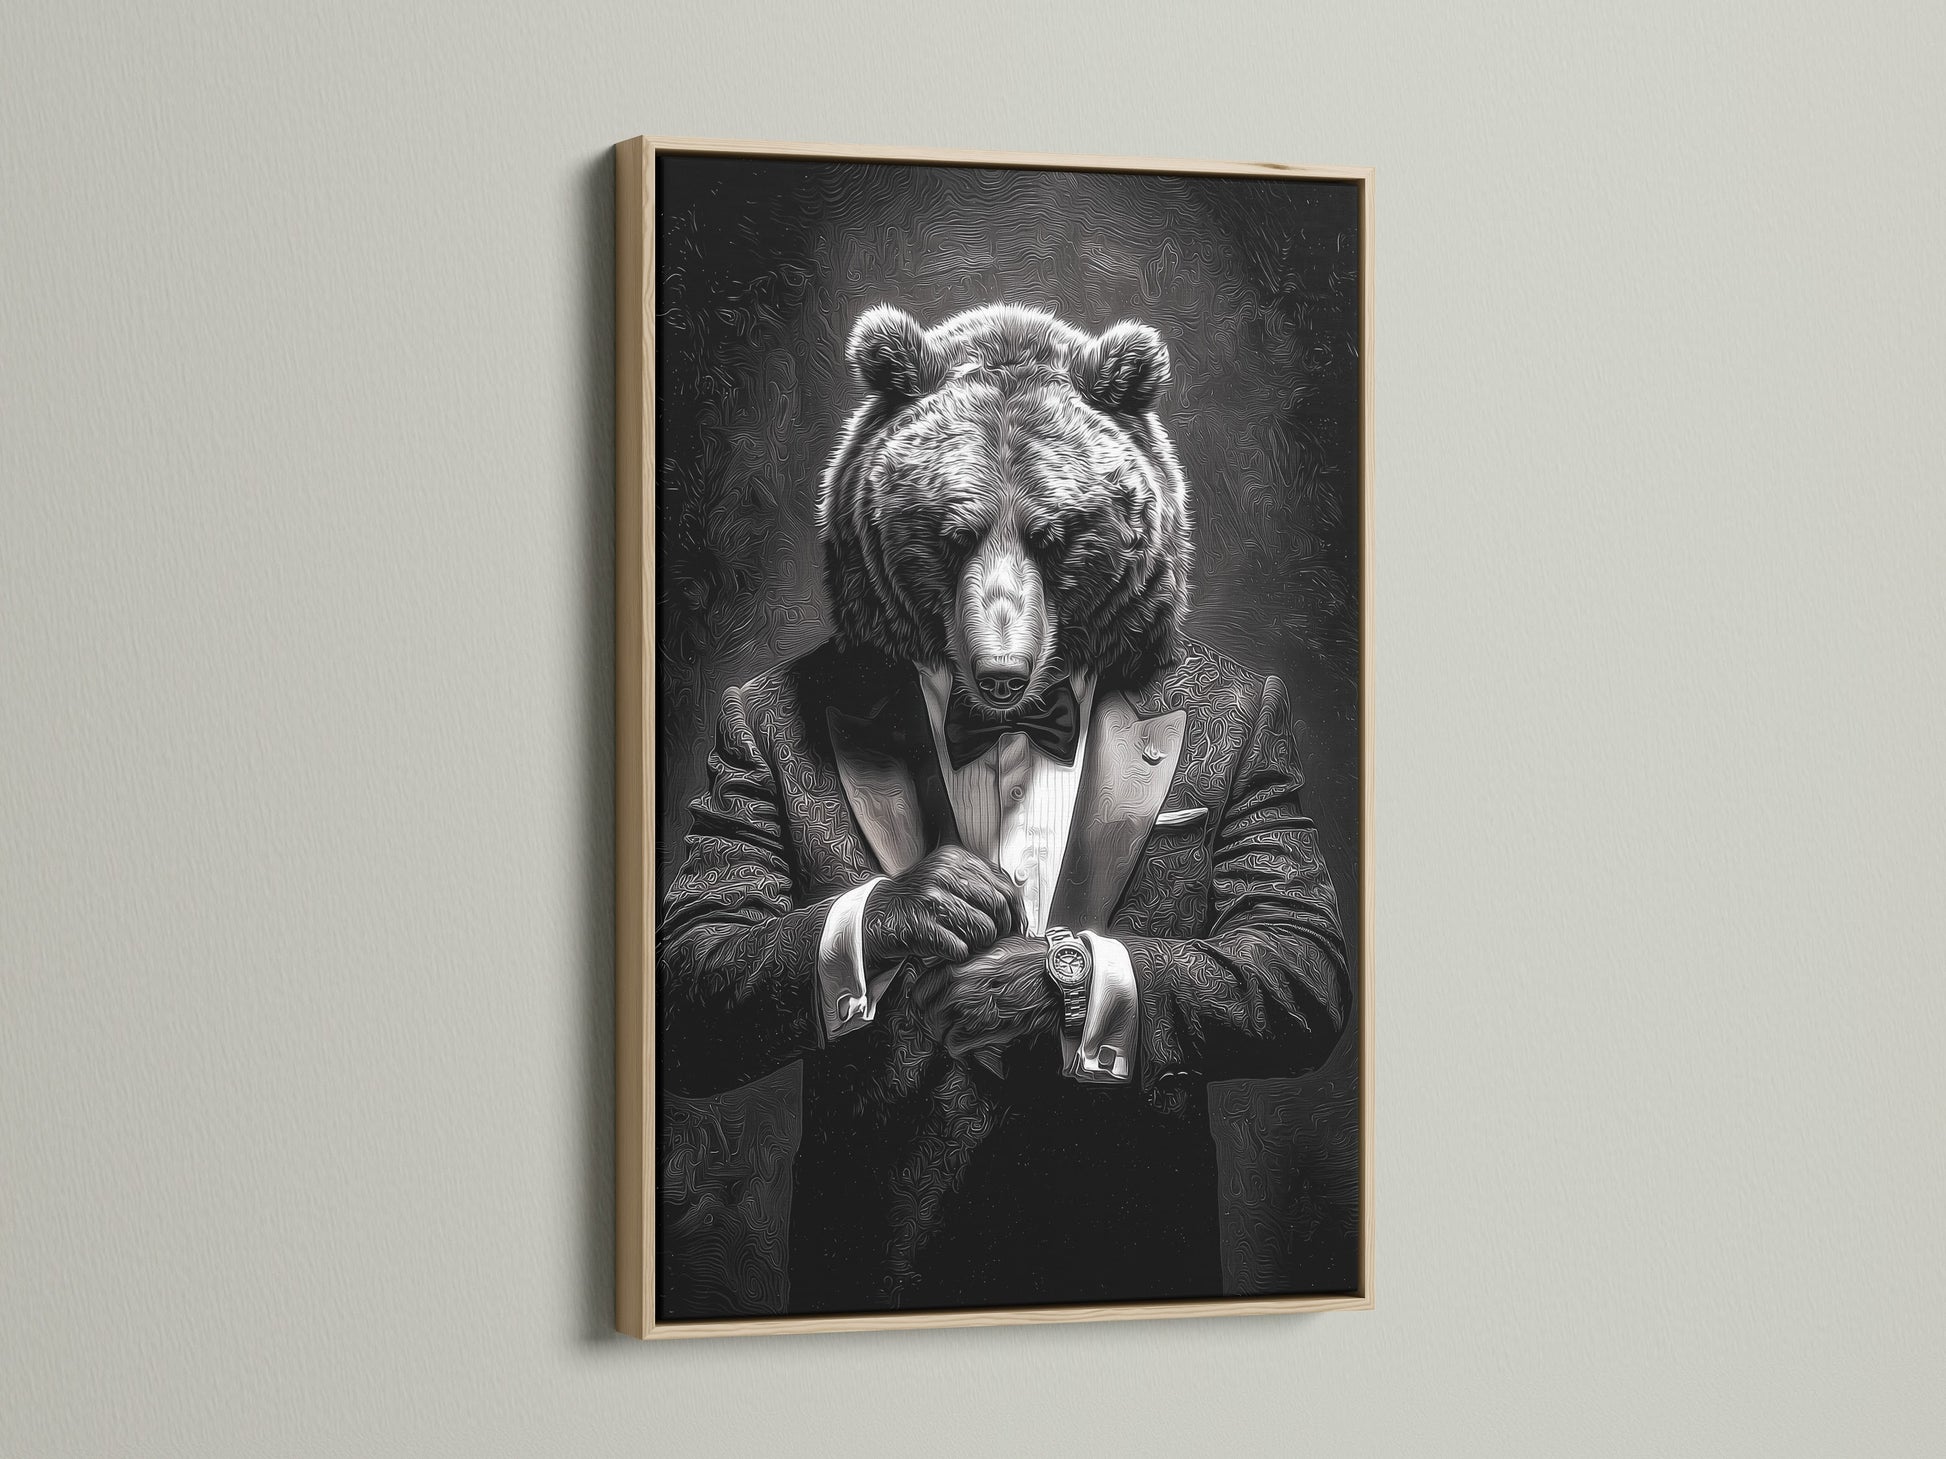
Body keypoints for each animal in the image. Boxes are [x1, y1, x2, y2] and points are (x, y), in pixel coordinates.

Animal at [658, 302, 1348, 1315]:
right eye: (950, 532)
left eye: (1058, 535)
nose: (1000, 675)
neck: (1016, 724)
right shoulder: (746, 748)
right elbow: (705, 942)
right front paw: (941, 897)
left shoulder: (1264, 750)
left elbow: (1288, 941)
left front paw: (1012, 978)